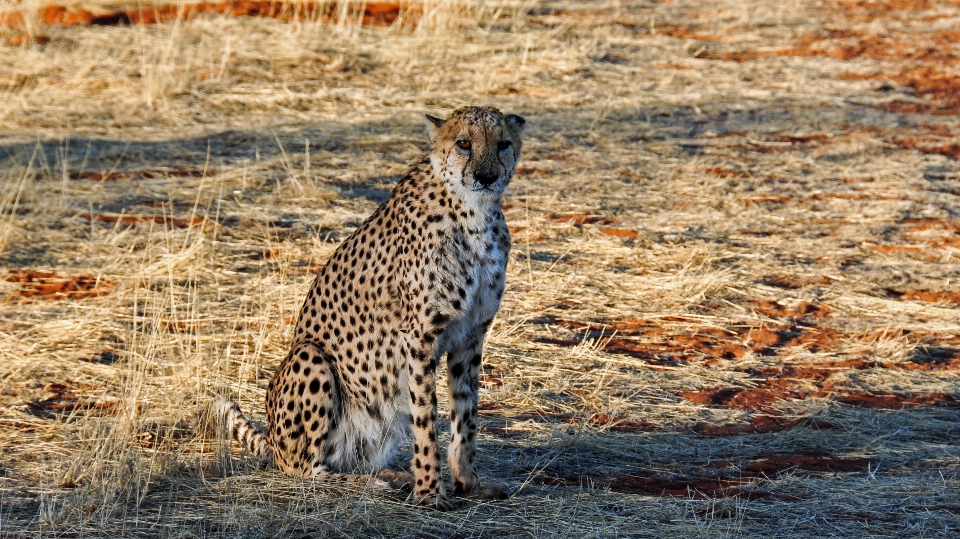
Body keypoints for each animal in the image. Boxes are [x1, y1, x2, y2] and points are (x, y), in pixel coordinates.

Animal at [215, 106, 524, 510]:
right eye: (463, 143)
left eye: (502, 144)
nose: (486, 176)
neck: (473, 213)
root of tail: (272, 444)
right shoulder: (419, 337)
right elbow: (426, 418)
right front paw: (430, 491)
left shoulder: (470, 336)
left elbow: (466, 414)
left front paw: (468, 483)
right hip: (310, 356)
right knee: (305, 470)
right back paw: (372, 484)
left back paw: (393, 476)